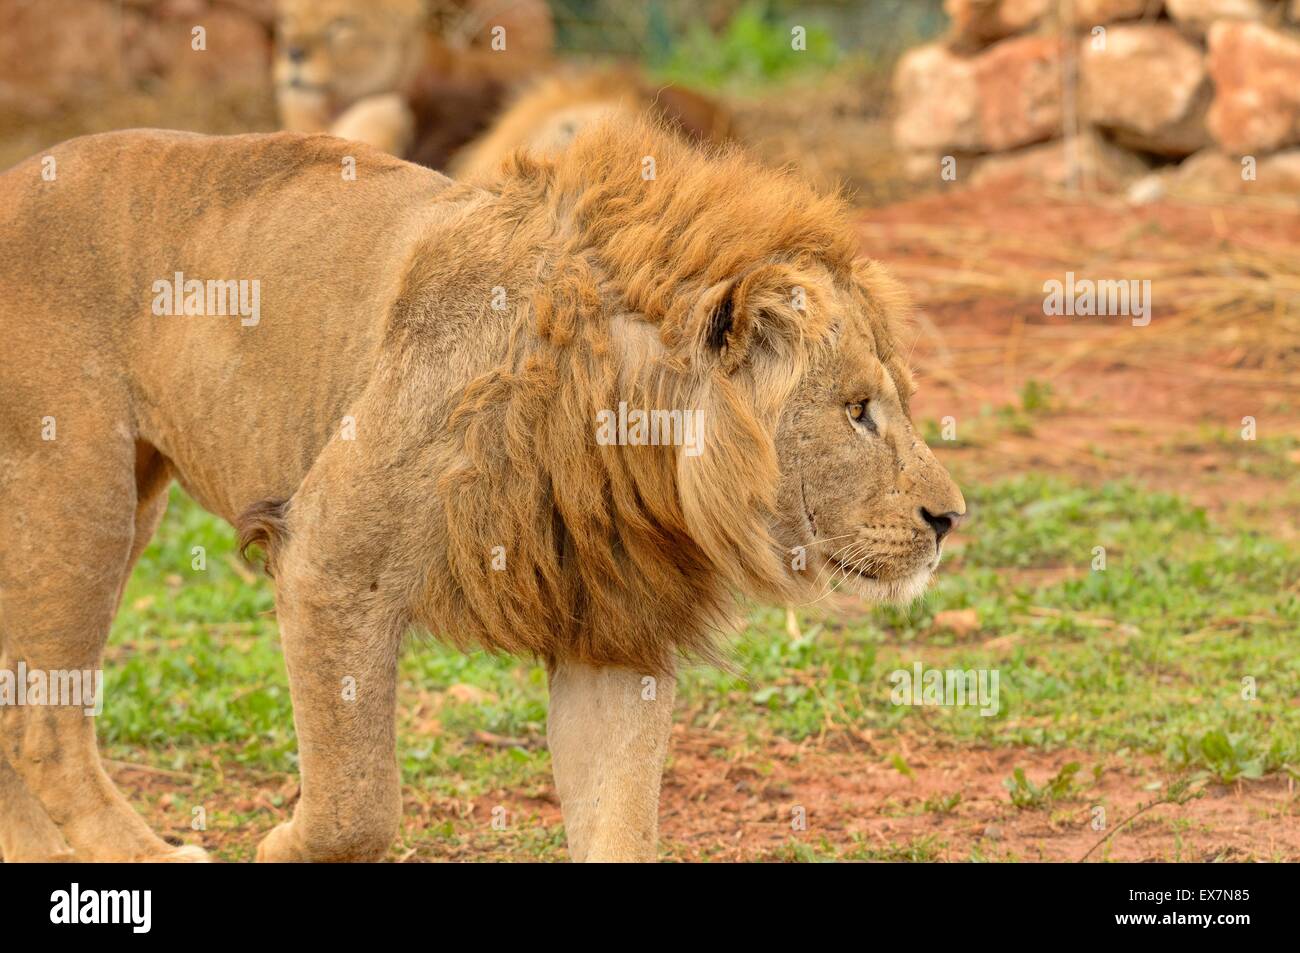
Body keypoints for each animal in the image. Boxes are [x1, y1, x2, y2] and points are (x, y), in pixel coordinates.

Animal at [0, 117, 964, 863]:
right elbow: (358, 802)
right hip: (76, 496)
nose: (951, 518)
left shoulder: (612, 630)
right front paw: (279, 846)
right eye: (857, 411)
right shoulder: (329, 561)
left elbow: (619, 825)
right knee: (46, 728)